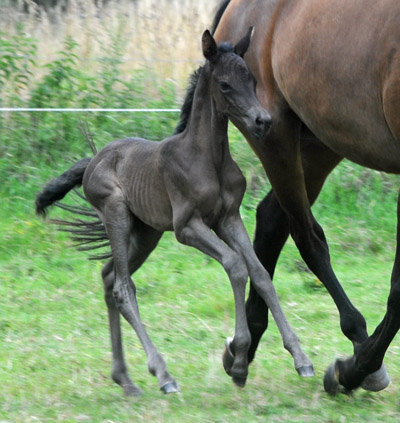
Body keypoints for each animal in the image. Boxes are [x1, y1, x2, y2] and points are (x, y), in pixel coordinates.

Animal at [211, 0, 398, 396]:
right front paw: (352, 370)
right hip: (275, 136)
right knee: (306, 237)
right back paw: (357, 348)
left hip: (320, 143)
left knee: (271, 219)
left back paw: (244, 345)